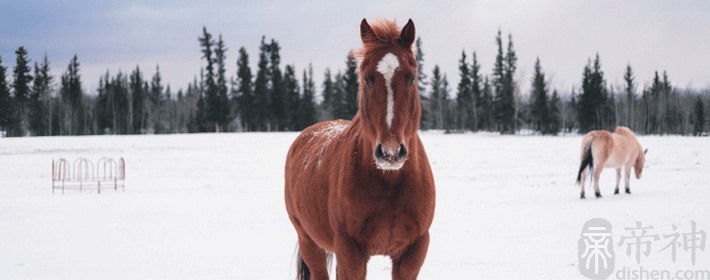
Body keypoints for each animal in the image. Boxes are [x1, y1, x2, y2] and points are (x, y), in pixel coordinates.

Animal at [286, 18, 436, 278]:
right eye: (367, 78)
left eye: (411, 77)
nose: (390, 152)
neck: (390, 182)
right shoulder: (350, 252)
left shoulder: (413, 251)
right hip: (309, 242)